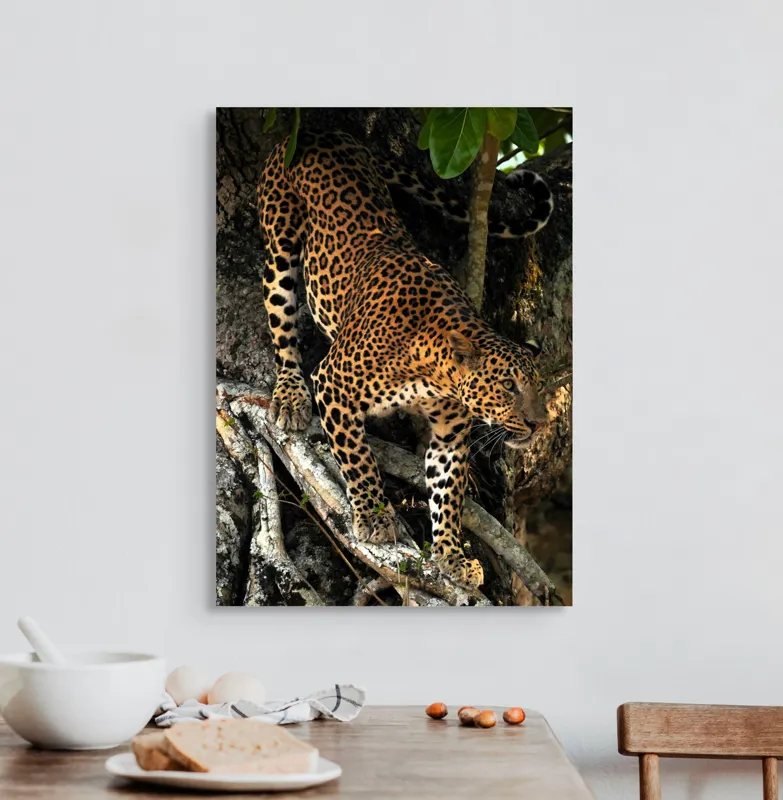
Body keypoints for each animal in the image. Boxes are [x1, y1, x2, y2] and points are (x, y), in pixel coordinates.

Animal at [256, 130, 553, 588]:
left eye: (538, 388)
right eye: (509, 386)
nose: (540, 424)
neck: (433, 369)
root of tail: (322, 132)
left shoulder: (449, 435)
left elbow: (447, 495)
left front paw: (452, 555)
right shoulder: (333, 384)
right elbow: (357, 458)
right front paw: (374, 517)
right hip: (280, 242)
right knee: (281, 322)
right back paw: (289, 396)